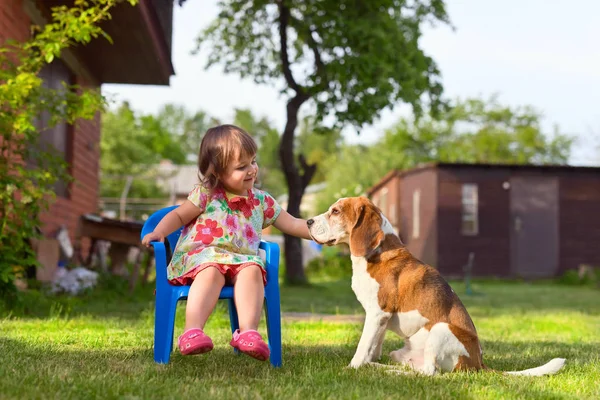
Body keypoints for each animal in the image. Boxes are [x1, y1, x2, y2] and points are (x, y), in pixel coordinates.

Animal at [308, 197, 564, 376]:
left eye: (335, 211)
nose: (308, 221)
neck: (376, 254)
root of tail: (478, 363)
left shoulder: (377, 313)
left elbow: (362, 347)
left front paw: (352, 369)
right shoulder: (378, 319)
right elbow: (372, 347)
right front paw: (366, 364)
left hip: (441, 329)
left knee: (429, 374)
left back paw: (389, 373)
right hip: (400, 353)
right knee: (418, 369)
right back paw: (382, 369)